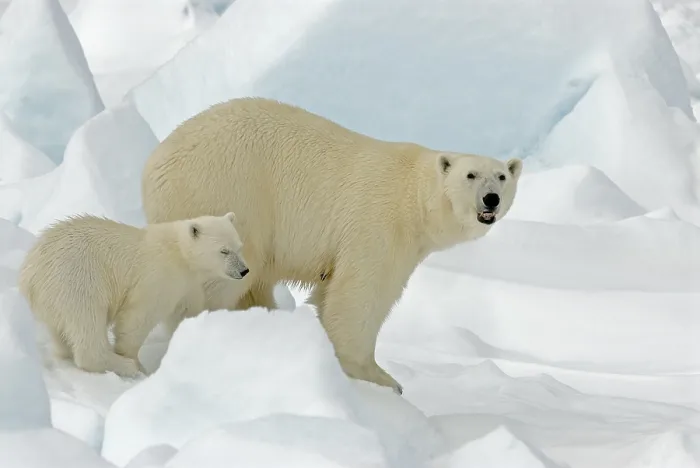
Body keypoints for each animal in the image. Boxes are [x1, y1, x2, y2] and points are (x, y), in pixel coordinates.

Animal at [17, 212, 249, 378]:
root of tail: (29, 274)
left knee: (60, 331)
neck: (179, 253)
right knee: (87, 322)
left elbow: (185, 312)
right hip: (77, 279)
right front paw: (136, 364)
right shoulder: (157, 276)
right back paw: (122, 365)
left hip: (52, 298)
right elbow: (137, 318)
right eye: (224, 251)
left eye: (239, 247)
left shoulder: (187, 284)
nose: (244, 271)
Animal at [141, 97, 523, 394]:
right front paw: (379, 378)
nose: (491, 199)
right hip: (227, 192)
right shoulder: (378, 223)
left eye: (502, 176)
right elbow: (359, 295)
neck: (414, 197)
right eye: (470, 175)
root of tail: (153, 168)